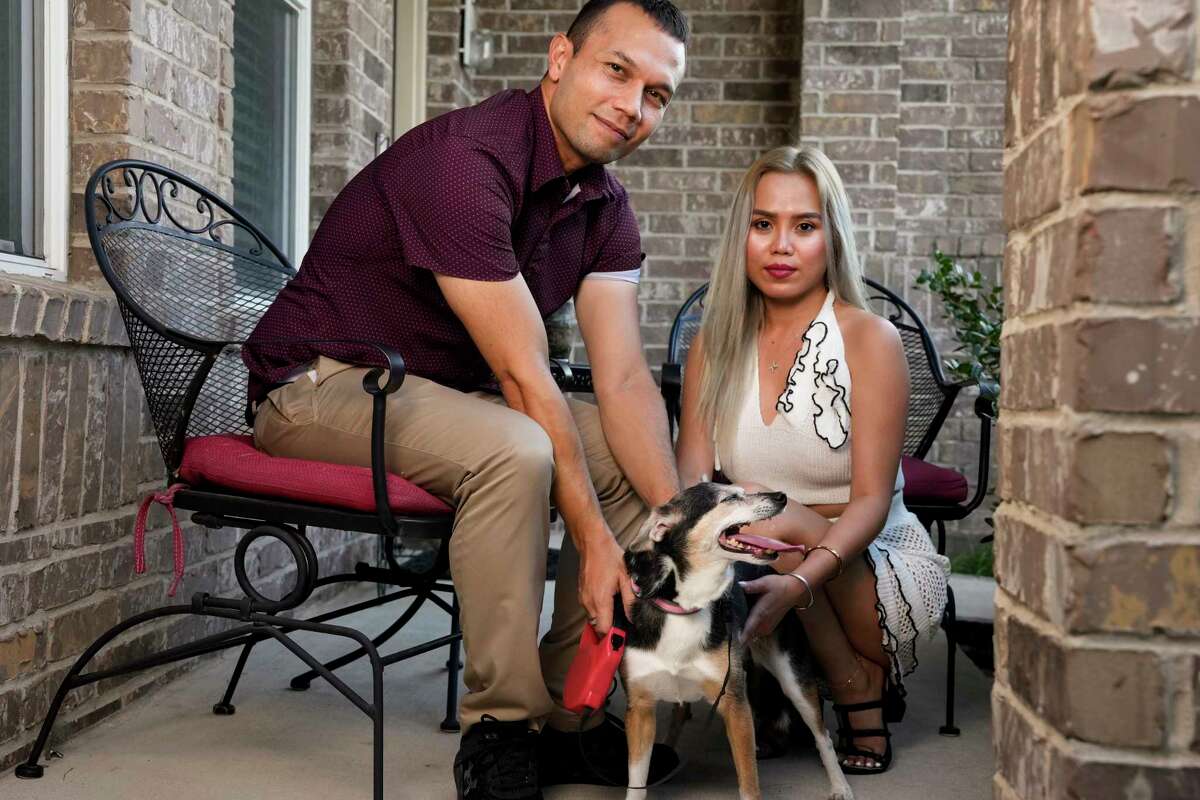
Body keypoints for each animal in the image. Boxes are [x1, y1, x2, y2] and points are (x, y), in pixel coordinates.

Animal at [619, 482, 854, 800]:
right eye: (729, 498)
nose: (781, 496)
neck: (686, 608)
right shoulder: (640, 711)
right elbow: (637, 783)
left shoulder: (733, 703)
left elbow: (749, 783)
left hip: (794, 679)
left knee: (822, 736)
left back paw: (840, 785)